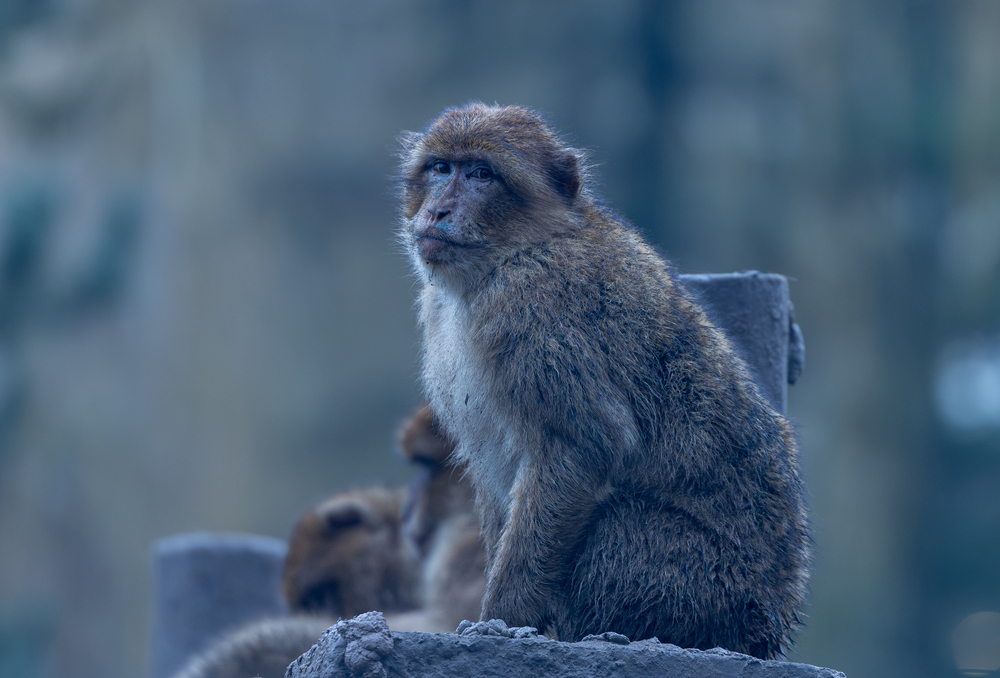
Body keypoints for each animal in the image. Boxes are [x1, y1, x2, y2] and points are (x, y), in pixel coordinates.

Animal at [398, 102, 810, 658]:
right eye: (441, 168)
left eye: (481, 174)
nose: (438, 210)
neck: (516, 250)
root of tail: (767, 626)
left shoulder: (536, 306)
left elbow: (585, 444)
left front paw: (502, 619)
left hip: (699, 587)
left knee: (619, 525)